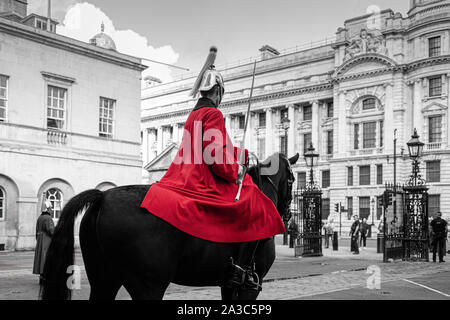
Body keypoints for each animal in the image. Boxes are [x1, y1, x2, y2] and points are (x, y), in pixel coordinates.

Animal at [40, 153, 298, 300]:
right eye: (293, 179)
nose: (286, 215)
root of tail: (103, 197)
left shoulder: (227, 285)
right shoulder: (249, 287)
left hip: (104, 278)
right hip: (148, 285)